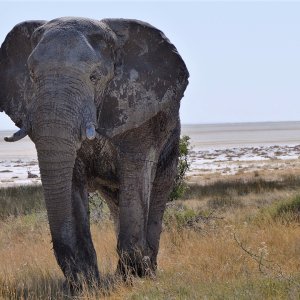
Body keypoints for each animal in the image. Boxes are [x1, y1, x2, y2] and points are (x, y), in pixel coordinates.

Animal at [0, 17, 188, 288]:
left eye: (94, 77)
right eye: (32, 76)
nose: (74, 275)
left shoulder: (141, 114)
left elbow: (136, 175)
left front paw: (135, 279)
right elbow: (70, 180)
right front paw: (86, 285)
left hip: (170, 144)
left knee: (157, 191)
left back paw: (146, 271)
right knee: (115, 201)